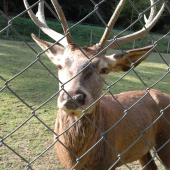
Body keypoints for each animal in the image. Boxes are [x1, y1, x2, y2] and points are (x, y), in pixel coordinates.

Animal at [22, 0, 170, 169]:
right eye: (59, 66)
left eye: (104, 69)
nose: (73, 98)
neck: (75, 159)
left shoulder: (109, 161)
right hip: (143, 149)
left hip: (165, 141)